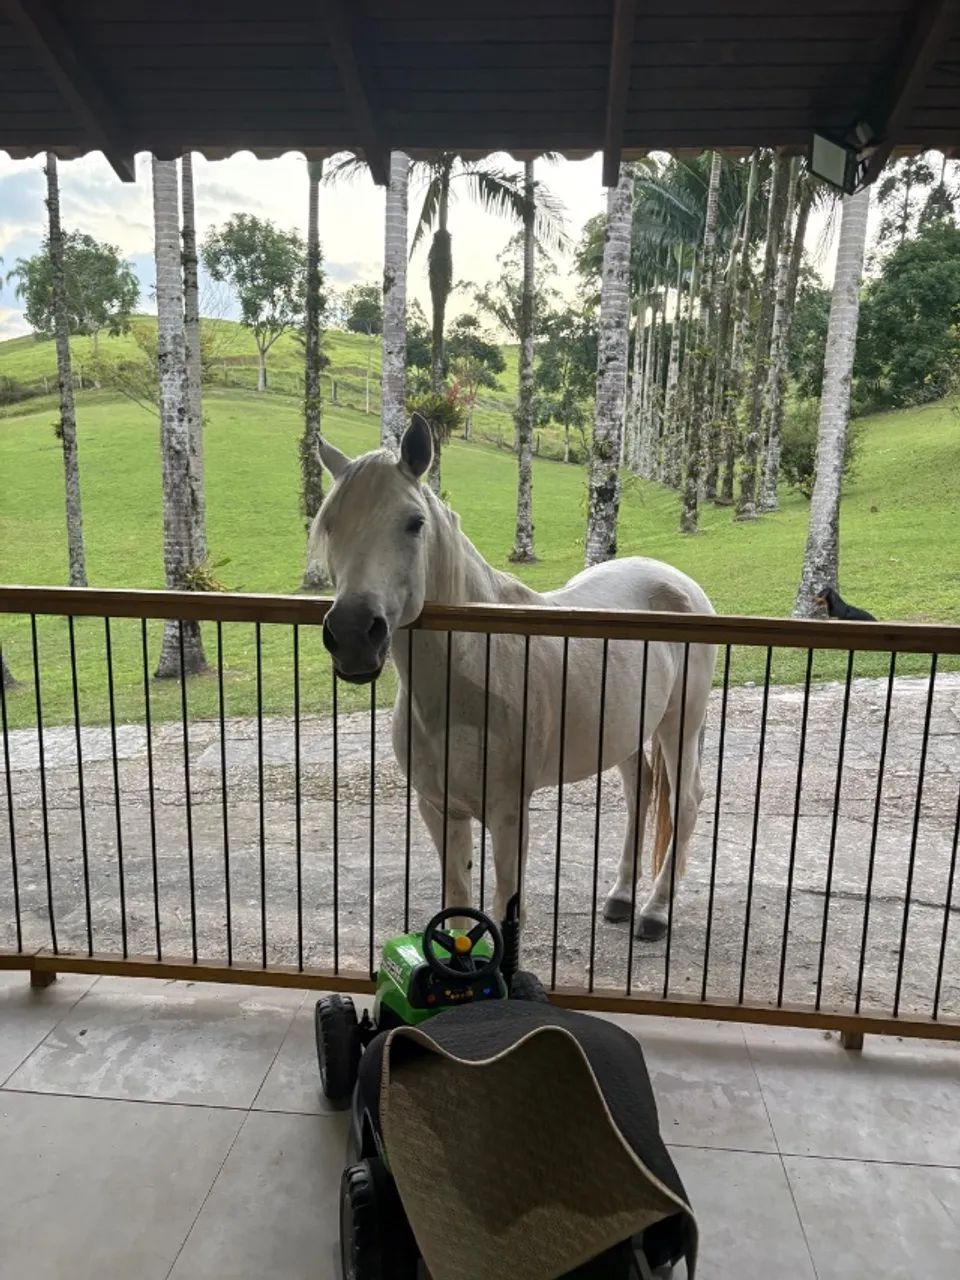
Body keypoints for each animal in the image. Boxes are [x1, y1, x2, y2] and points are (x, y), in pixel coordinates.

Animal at [311, 414, 717, 941]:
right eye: (330, 525)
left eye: (414, 523)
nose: (354, 634)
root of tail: (679, 582)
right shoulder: (439, 808)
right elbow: (458, 901)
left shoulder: (508, 815)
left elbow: (506, 909)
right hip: (627, 730)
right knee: (641, 790)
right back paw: (621, 898)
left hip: (679, 724)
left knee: (685, 801)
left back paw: (655, 911)